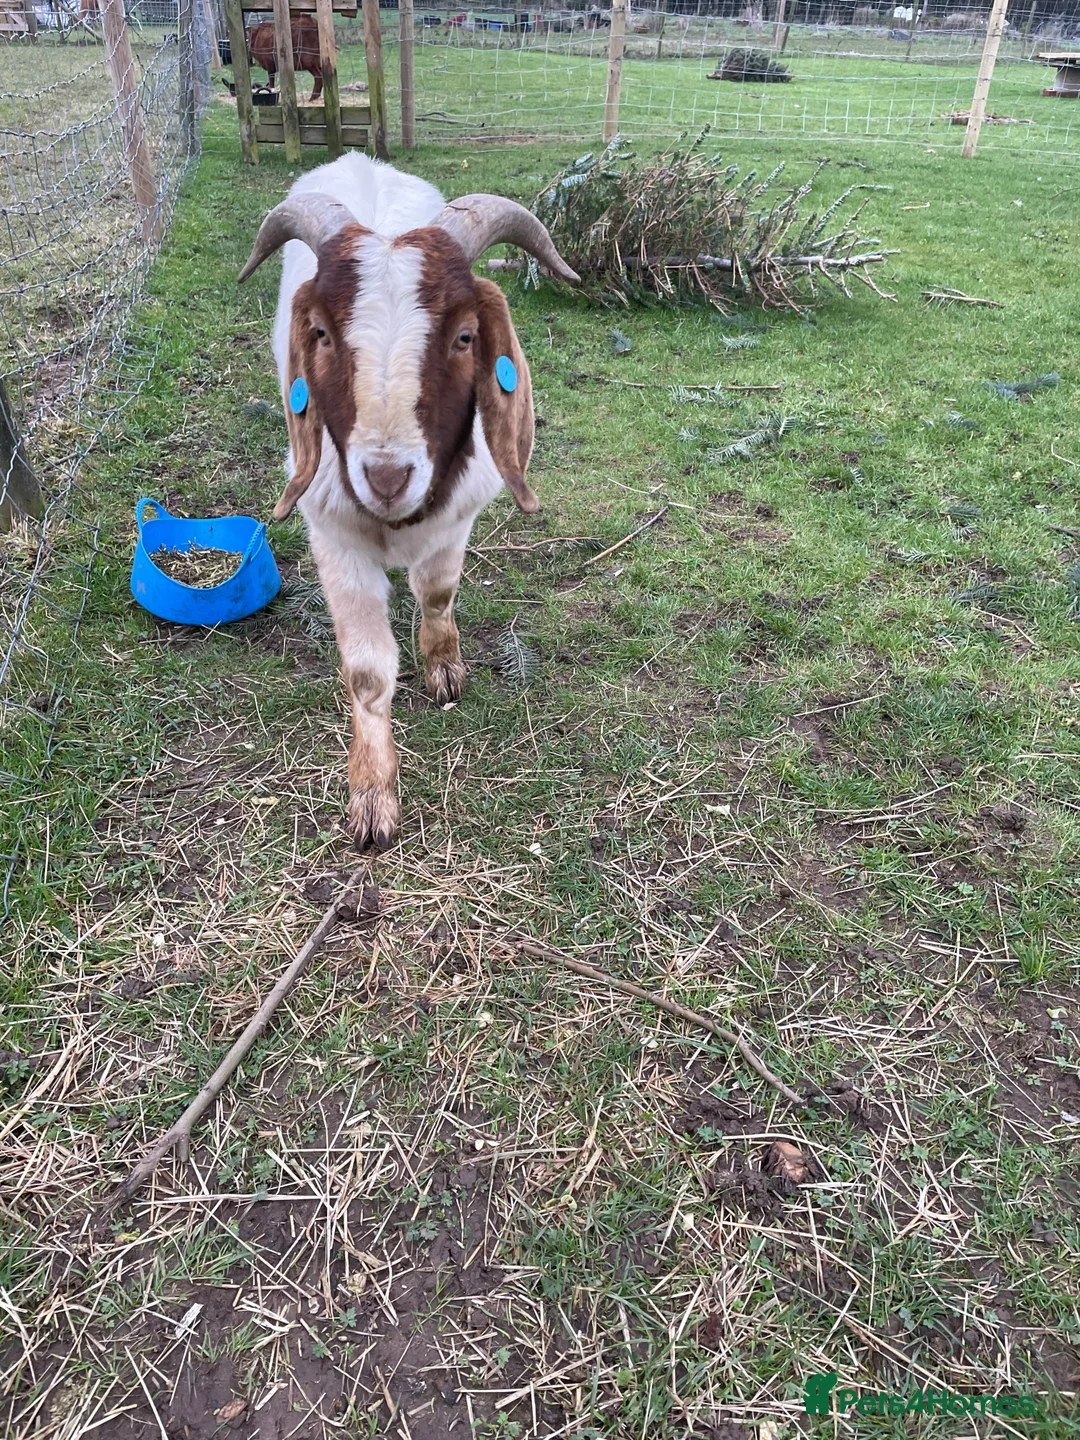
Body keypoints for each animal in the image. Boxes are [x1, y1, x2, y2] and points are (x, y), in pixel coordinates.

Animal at [239, 155, 578, 850]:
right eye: (319, 332)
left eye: (466, 336)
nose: (388, 477)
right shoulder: (333, 540)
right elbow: (368, 673)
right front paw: (372, 796)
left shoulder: (456, 520)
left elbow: (438, 593)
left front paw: (444, 667)